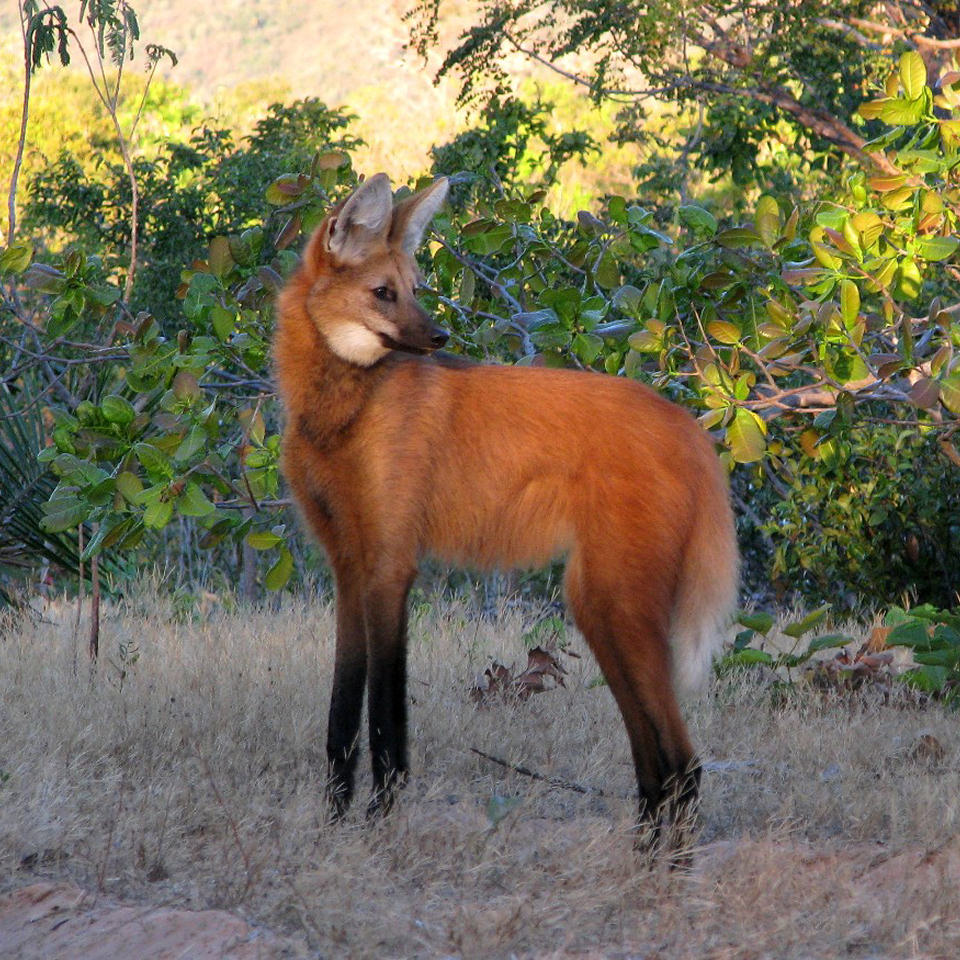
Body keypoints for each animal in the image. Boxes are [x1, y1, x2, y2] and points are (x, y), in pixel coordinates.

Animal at [274, 172, 740, 848]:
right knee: (654, 763)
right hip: (599, 606)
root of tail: (691, 426)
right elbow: (342, 722)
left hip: (616, 603)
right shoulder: (349, 567)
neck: (343, 410)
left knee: (685, 762)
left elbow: (387, 721)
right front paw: (335, 828)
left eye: (414, 290)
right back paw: (641, 864)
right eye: (384, 293)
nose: (439, 339)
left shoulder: (390, 567)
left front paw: (380, 830)